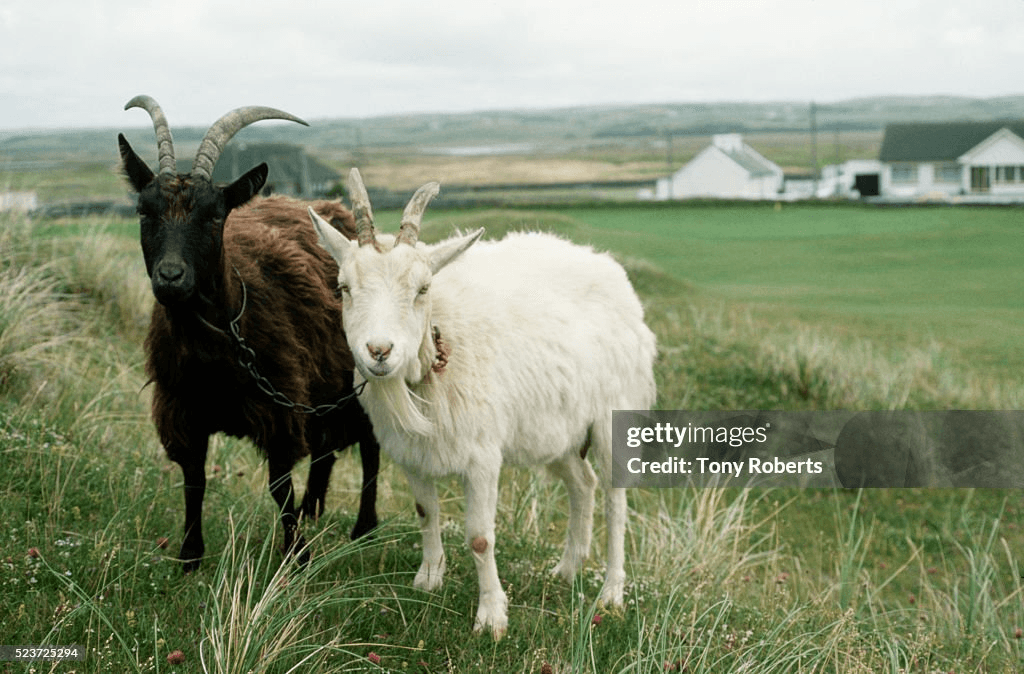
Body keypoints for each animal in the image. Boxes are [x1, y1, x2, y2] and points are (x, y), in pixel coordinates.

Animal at [307, 167, 655, 635]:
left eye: (423, 288)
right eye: (343, 286)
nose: (379, 351)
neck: (438, 345)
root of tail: (610, 270)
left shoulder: (482, 456)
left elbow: (479, 536)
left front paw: (491, 617)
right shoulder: (412, 451)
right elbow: (425, 511)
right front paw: (428, 579)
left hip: (611, 415)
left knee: (616, 500)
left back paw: (612, 591)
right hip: (556, 427)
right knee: (583, 483)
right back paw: (566, 569)